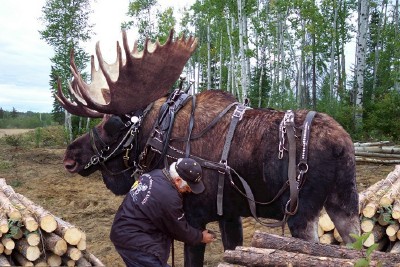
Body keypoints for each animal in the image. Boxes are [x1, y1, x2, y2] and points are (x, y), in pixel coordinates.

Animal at [57, 30, 360, 266]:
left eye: (111, 124)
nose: (70, 157)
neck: (159, 136)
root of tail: (342, 144)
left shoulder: (194, 216)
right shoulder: (229, 215)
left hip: (301, 213)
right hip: (343, 201)